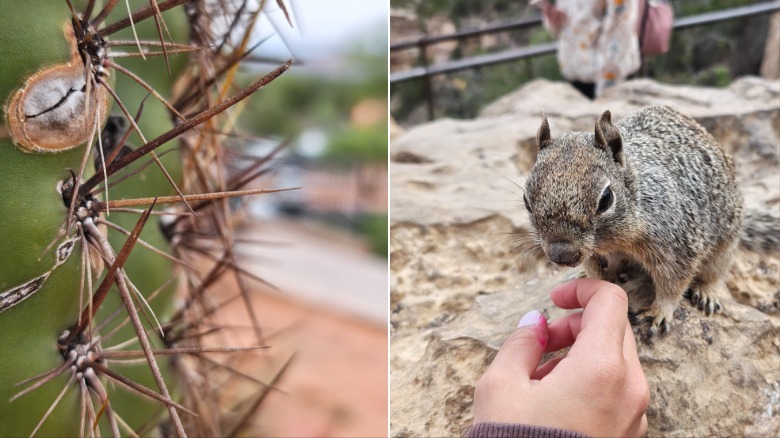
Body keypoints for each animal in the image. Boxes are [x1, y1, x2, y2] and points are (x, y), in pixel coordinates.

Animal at [522, 106, 746, 336]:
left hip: (725, 245)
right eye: (526, 201)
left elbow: (672, 285)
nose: (562, 255)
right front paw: (594, 278)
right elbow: (595, 269)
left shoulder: (678, 245)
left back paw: (706, 292)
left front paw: (659, 311)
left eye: (606, 198)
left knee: (714, 273)